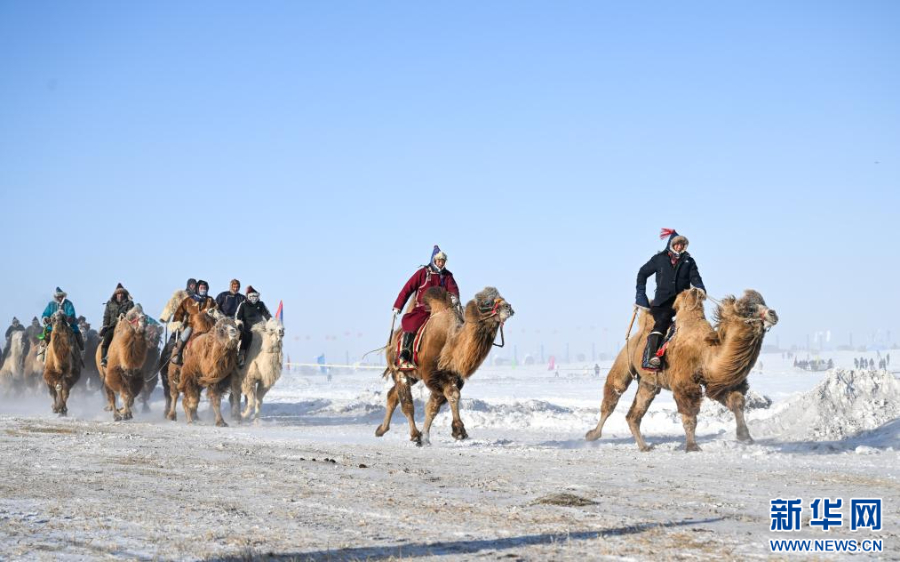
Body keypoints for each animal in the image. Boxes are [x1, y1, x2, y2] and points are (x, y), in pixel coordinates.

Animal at [374, 286, 512, 444]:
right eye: (487, 303)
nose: (508, 307)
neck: (449, 345)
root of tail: (392, 340)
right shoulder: (433, 375)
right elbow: (451, 395)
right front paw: (459, 431)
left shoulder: (453, 377)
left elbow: (434, 406)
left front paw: (426, 437)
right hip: (398, 370)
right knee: (406, 403)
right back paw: (414, 434)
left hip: (413, 375)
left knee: (392, 395)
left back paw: (381, 430)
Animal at [588, 288, 776, 450]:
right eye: (750, 309)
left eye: (762, 302)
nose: (773, 314)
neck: (706, 353)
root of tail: (640, 332)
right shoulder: (684, 384)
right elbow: (689, 415)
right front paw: (692, 446)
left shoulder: (716, 382)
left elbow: (737, 402)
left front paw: (746, 437)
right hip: (624, 360)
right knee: (613, 395)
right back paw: (592, 435)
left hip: (649, 383)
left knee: (636, 411)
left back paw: (644, 447)